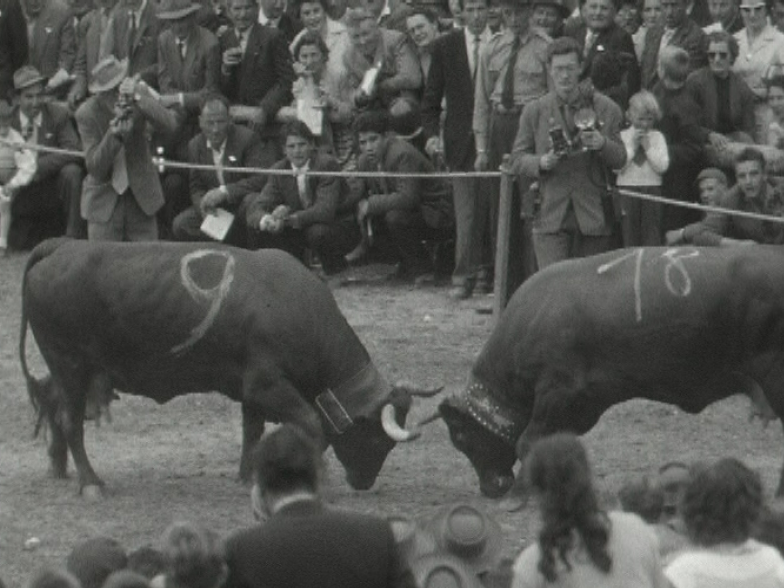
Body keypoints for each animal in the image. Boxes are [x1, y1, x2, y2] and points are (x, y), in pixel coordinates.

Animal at [18, 239, 434, 496]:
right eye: (377, 438)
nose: (364, 482)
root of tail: (61, 245)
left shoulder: (252, 390)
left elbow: (252, 430)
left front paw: (248, 475)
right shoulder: (266, 385)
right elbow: (310, 423)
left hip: (72, 369)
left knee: (53, 403)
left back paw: (59, 467)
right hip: (71, 365)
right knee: (71, 421)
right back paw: (90, 482)